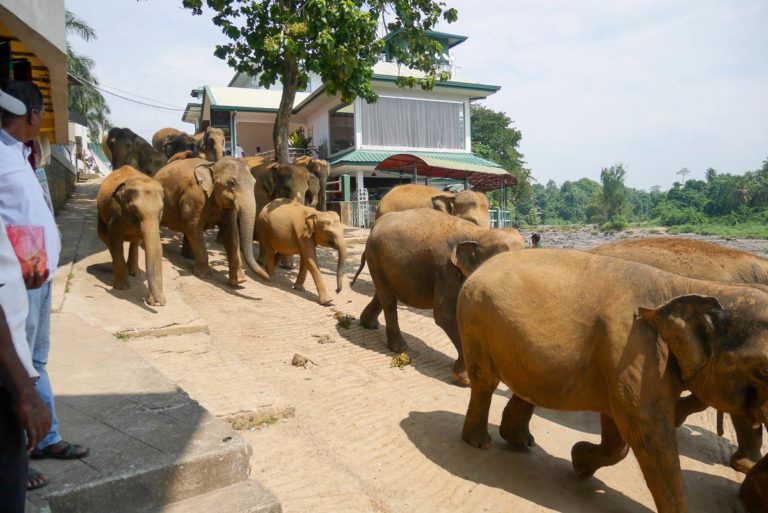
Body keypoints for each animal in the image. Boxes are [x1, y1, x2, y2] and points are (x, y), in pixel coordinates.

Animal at [96, 166, 165, 306]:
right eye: (134, 209)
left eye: (161, 210)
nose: (156, 301)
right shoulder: (115, 215)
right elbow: (115, 240)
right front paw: (122, 288)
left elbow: (157, 246)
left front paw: (159, 301)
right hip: (100, 213)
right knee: (104, 236)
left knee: (135, 242)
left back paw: (135, 273)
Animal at [154, 154, 268, 286]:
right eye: (231, 182)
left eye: (254, 182)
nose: (267, 277)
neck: (213, 165)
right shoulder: (194, 197)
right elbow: (193, 227)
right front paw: (204, 275)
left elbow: (231, 232)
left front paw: (239, 281)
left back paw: (189, 256)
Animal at [356, 208, 528, 384]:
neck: (479, 234)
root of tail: (376, 223)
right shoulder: (446, 270)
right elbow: (445, 315)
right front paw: (465, 380)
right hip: (375, 257)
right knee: (388, 300)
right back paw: (400, 348)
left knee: (383, 294)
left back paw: (369, 324)